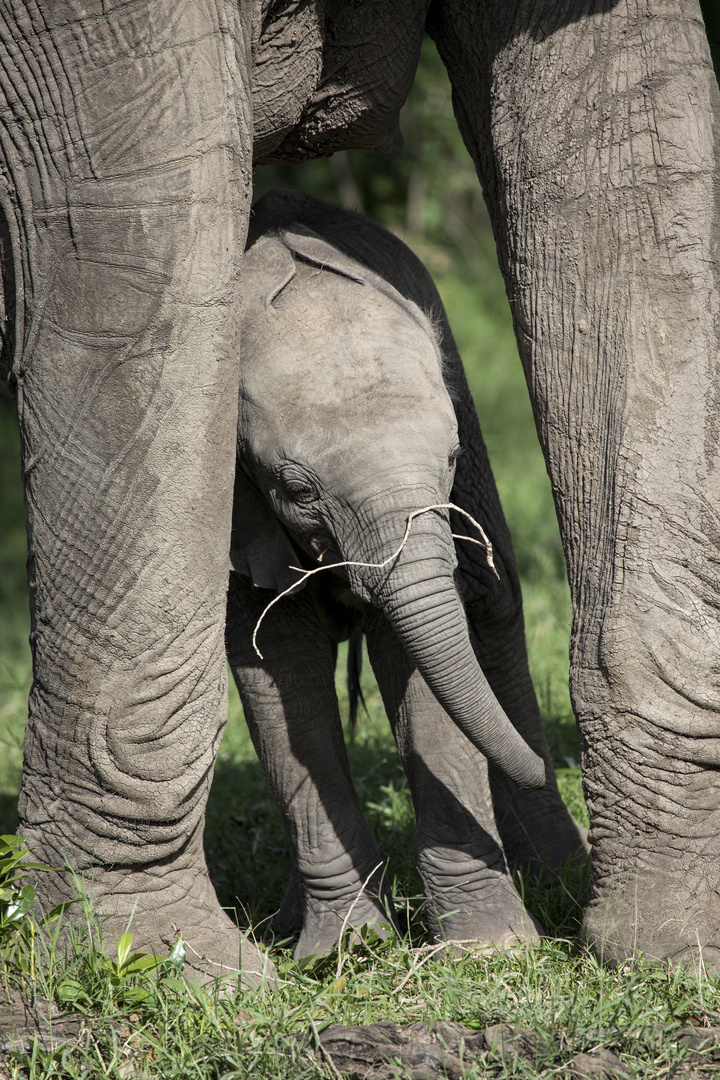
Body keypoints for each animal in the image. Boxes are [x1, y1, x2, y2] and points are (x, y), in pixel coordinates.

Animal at [227, 190, 587, 959]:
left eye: (446, 457)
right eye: (297, 490)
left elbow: (417, 654)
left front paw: (492, 949)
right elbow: (279, 667)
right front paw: (344, 952)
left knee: (493, 609)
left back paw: (559, 873)